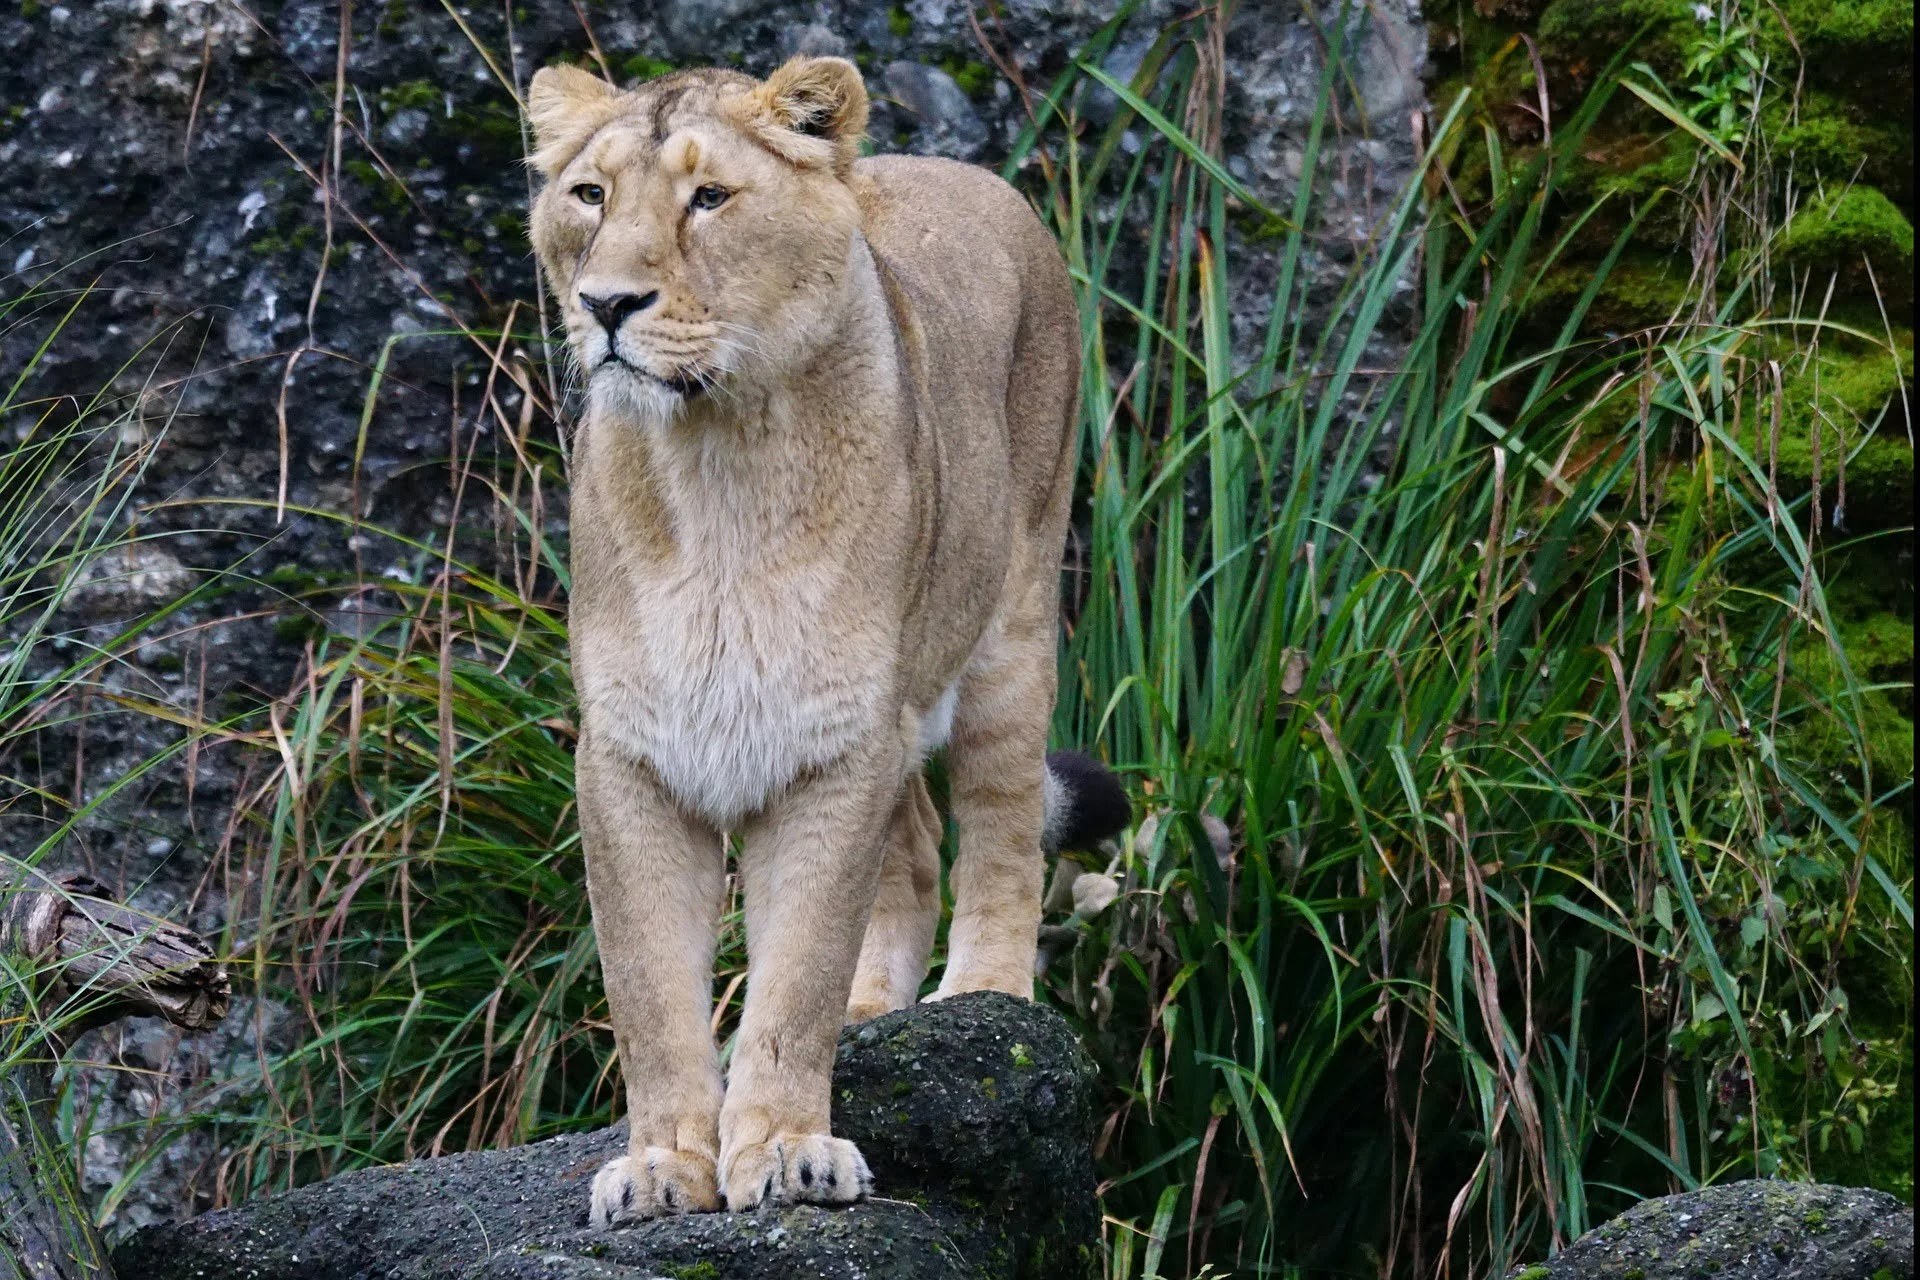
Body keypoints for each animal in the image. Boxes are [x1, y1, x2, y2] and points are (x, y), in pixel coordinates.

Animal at [525, 55, 1129, 1227]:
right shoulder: (633, 755)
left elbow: (795, 968)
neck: (711, 464)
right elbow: (648, 990)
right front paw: (665, 1162)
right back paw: (874, 1005)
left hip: (1013, 617)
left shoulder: (837, 741)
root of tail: (960, 170)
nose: (605, 303)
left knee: (994, 827)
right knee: (916, 848)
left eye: (709, 198)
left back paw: (987, 995)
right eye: (590, 196)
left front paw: (787, 1149)